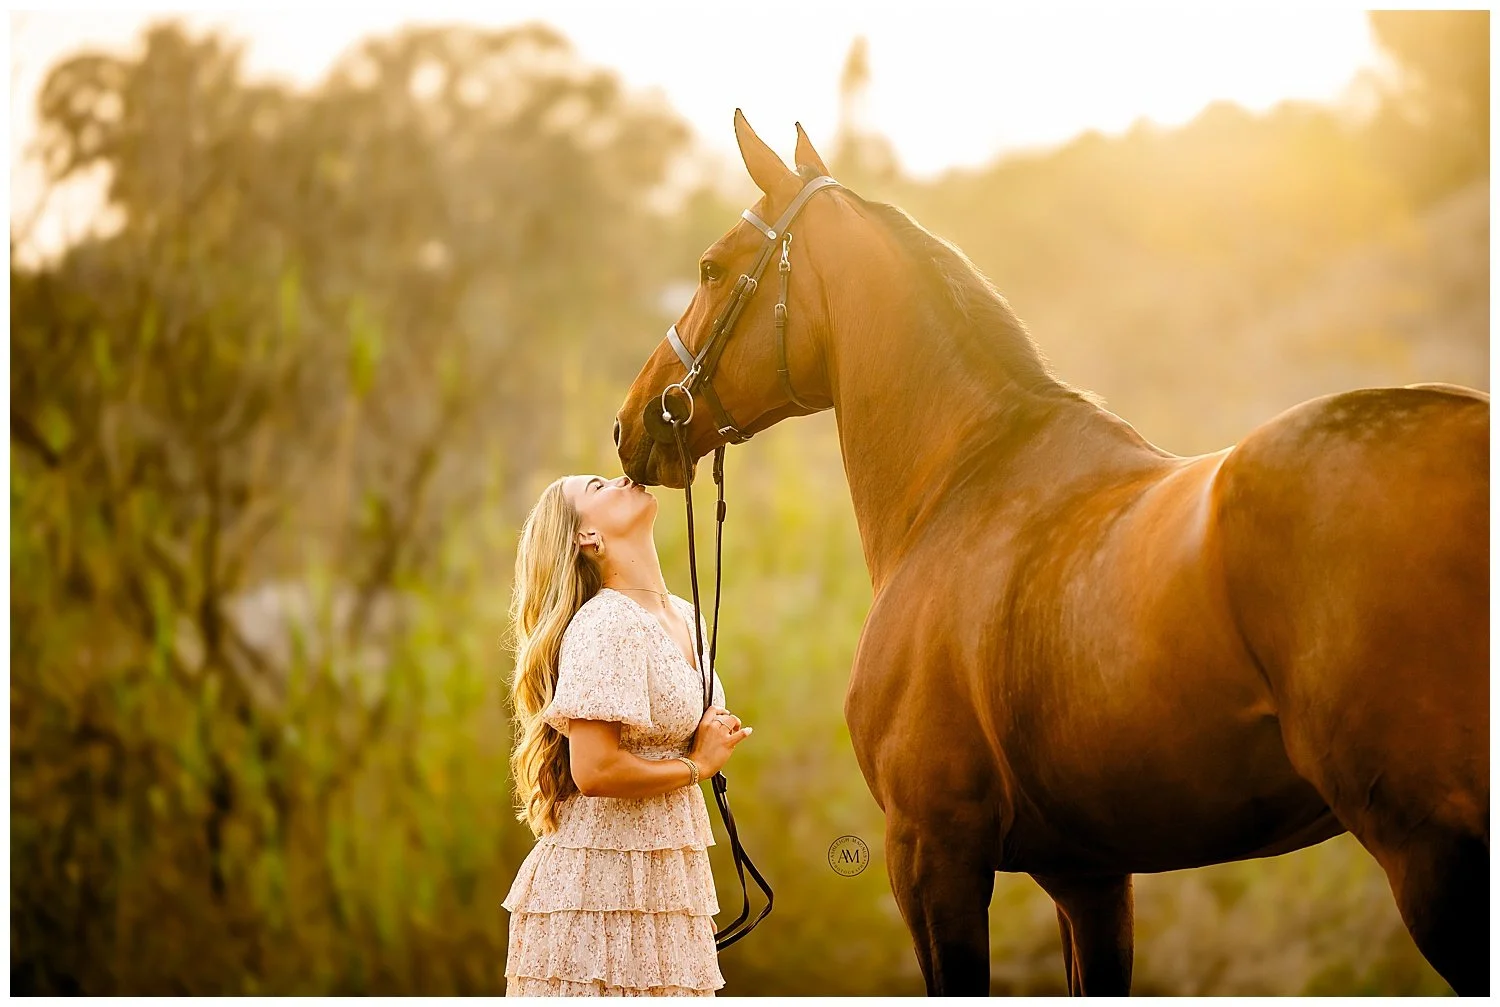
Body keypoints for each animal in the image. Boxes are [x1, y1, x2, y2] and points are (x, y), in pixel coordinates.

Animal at [612, 111, 1489, 995]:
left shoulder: (931, 852)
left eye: (711, 267)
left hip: (1431, 853)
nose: (631, 422)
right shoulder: (1088, 875)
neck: (959, 475)